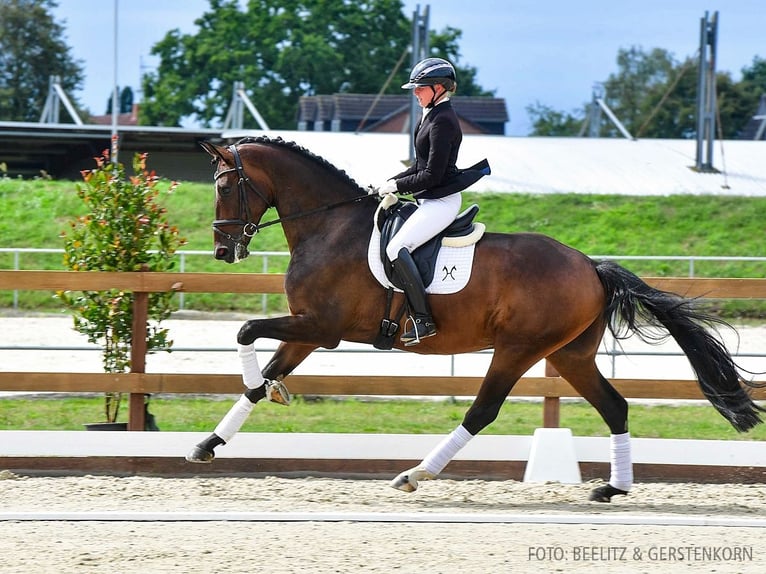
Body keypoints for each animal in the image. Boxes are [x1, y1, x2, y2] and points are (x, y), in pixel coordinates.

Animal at [188, 136, 766, 504]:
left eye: (225, 186)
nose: (222, 251)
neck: (328, 226)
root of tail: (590, 266)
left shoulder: (321, 328)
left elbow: (245, 333)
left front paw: (257, 392)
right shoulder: (307, 328)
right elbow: (262, 375)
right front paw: (209, 443)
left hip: (519, 349)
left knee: (483, 410)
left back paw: (415, 474)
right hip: (570, 354)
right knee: (614, 406)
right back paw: (612, 487)